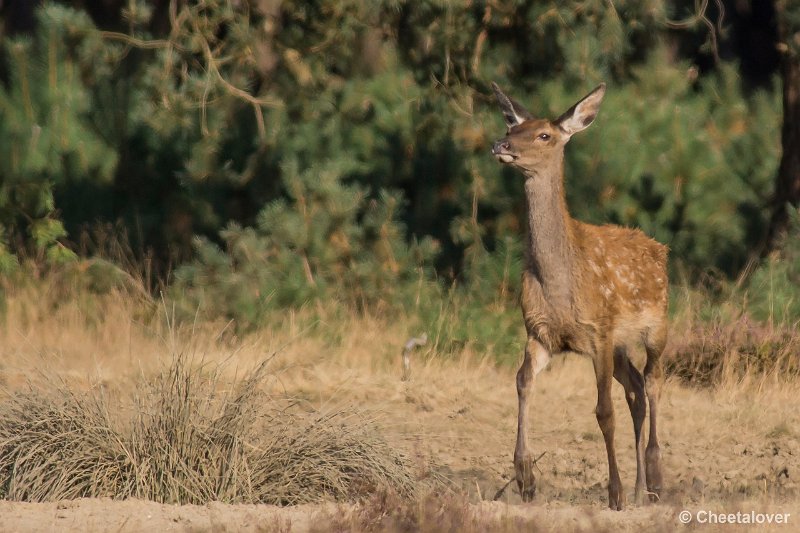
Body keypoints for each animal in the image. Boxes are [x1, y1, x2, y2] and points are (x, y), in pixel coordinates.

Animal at [488, 81, 668, 510]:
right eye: (512, 126)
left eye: (544, 135)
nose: (501, 144)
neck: (559, 284)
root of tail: (659, 248)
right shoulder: (539, 332)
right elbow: (521, 382)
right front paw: (525, 479)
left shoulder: (598, 331)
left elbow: (603, 411)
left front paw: (614, 493)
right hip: (621, 347)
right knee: (636, 389)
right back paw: (640, 487)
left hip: (658, 325)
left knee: (653, 382)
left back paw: (654, 480)